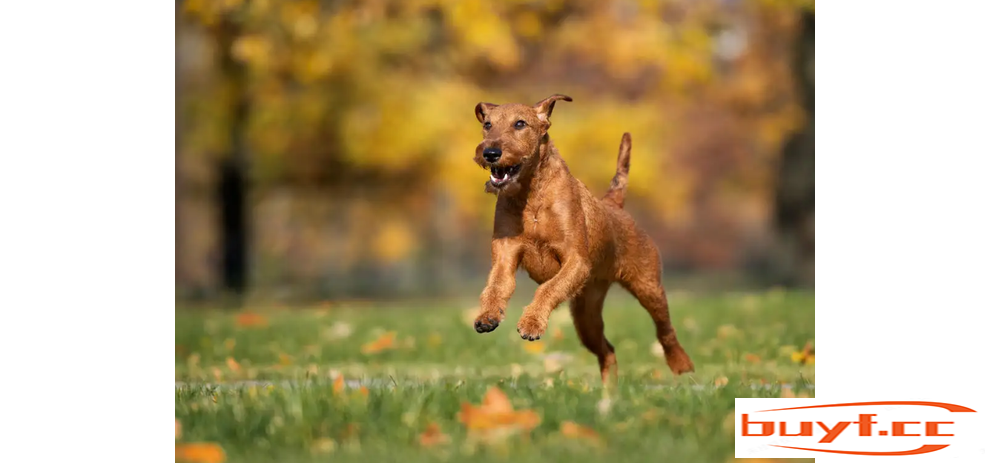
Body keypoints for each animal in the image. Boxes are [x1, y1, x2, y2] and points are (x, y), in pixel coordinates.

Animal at [472, 95, 696, 384]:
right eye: (487, 124)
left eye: (520, 124)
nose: (490, 152)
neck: (531, 196)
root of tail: (614, 205)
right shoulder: (505, 256)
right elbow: (495, 287)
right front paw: (487, 316)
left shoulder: (575, 260)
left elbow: (548, 288)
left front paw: (531, 323)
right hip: (586, 315)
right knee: (607, 349)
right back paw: (609, 389)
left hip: (649, 288)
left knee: (665, 331)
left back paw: (682, 367)